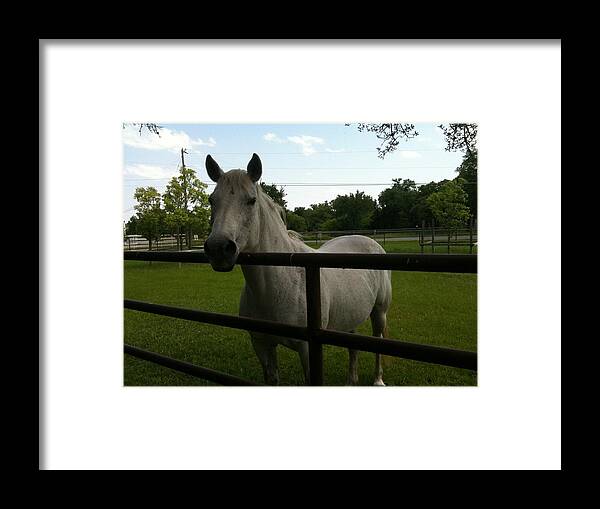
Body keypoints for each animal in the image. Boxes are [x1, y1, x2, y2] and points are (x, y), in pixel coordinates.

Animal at [205, 153, 394, 382]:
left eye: (251, 200)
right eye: (212, 200)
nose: (218, 248)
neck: (278, 284)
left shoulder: (308, 350)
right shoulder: (262, 345)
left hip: (379, 313)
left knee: (378, 342)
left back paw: (378, 380)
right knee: (353, 347)